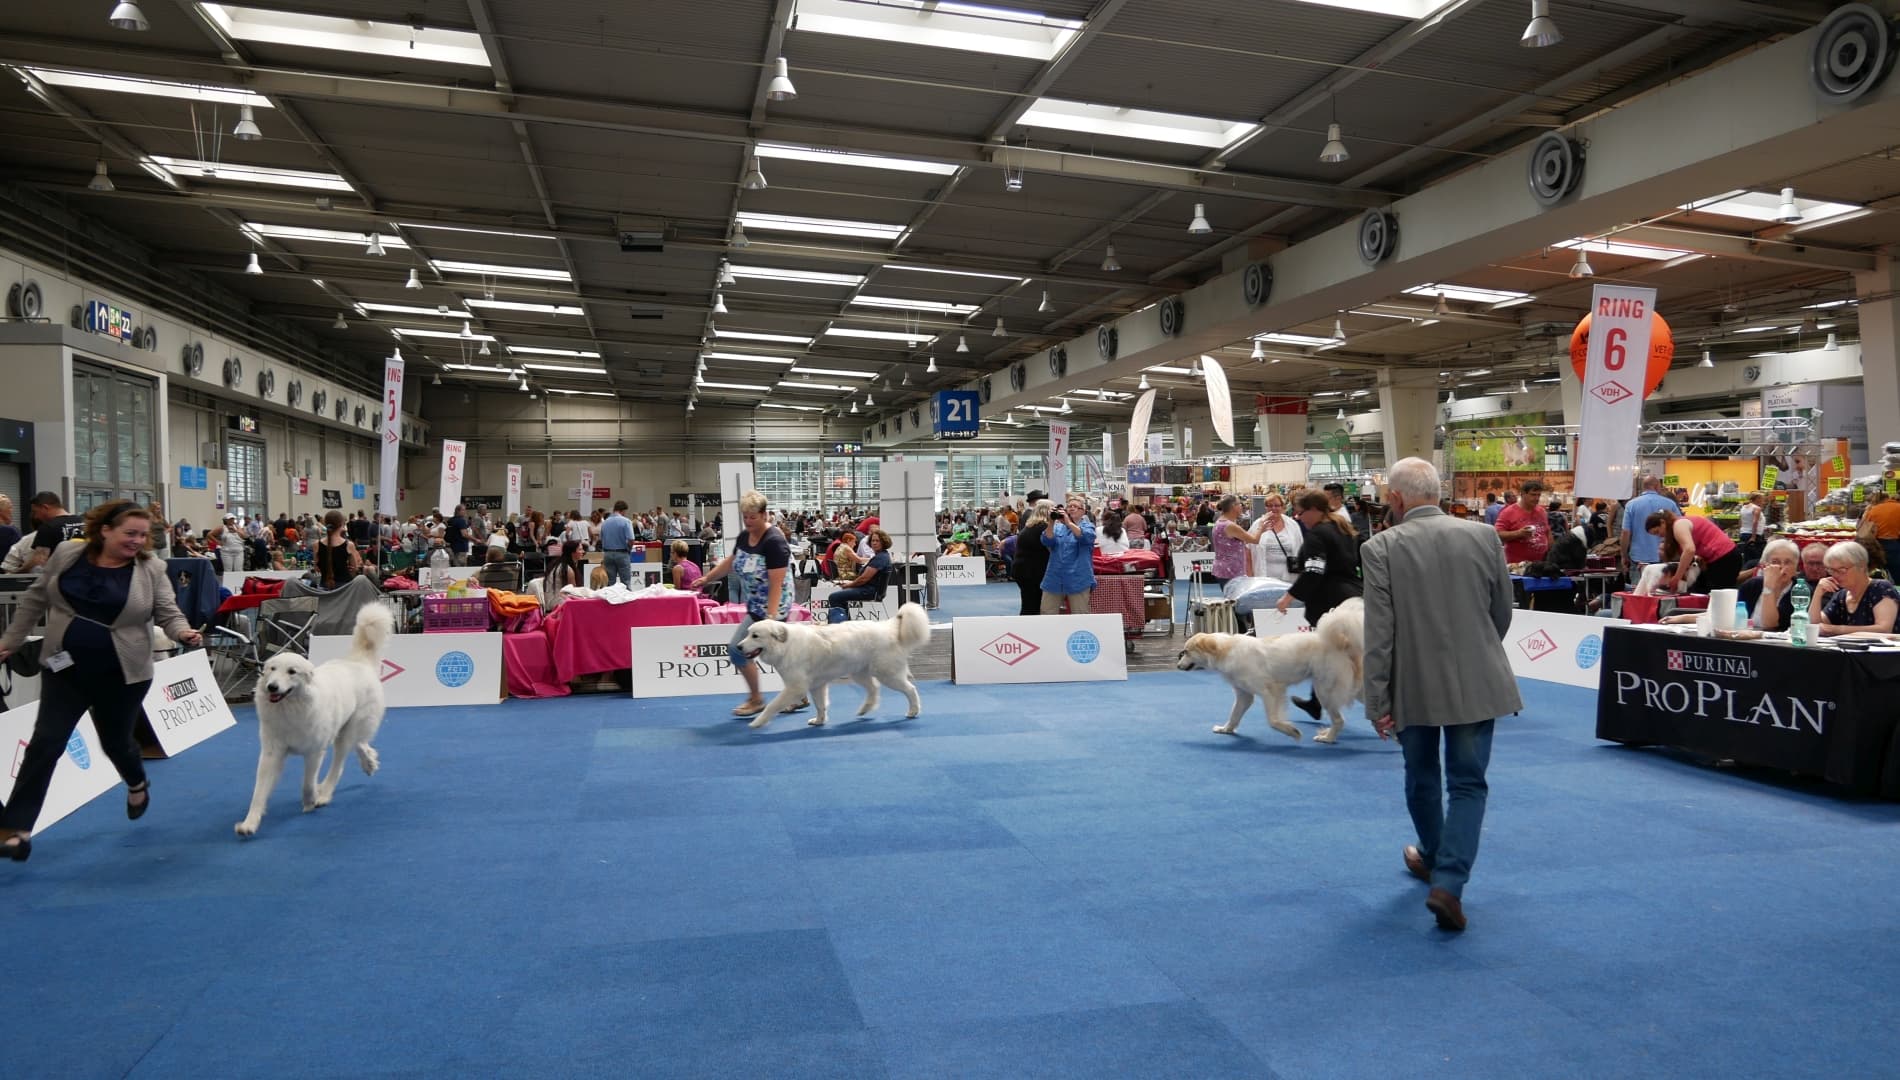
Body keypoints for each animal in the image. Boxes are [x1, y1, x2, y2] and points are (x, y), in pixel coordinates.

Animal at [241, 604, 397, 840]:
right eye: (271, 669)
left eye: (292, 672)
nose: (272, 687)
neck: (290, 711)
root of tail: (357, 661)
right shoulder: (271, 753)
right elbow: (258, 792)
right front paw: (249, 824)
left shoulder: (314, 752)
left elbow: (307, 783)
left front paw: (311, 800)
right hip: (345, 729)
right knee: (361, 743)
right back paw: (369, 763)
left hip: (346, 733)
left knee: (339, 764)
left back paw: (325, 793)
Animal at [729, 604, 931, 730]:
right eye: (747, 634)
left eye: (755, 636)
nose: (738, 647)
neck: (785, 646)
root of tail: (889, 627)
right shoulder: (816, 685)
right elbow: (820, 705)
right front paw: (819, 721)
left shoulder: (796, 687)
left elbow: (772, 705)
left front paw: (758, 722)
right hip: (860, 673)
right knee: (874, 689)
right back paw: (865, 709)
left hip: (887, 674)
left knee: (910, 689)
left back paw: (913, 711)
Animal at [1170, 600, 1368, 741]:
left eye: (1186, 652)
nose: (1178, 666)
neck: (1227, 651)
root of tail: (1341, 643)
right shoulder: (1244, 695)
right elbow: (1234, 715)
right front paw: (1225, 729)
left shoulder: (1270, 691)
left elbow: (1272, 720)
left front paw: (1291, 731)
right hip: (1350, 689)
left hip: (1325, 691)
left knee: (1339, 720)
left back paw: (1327, 738)